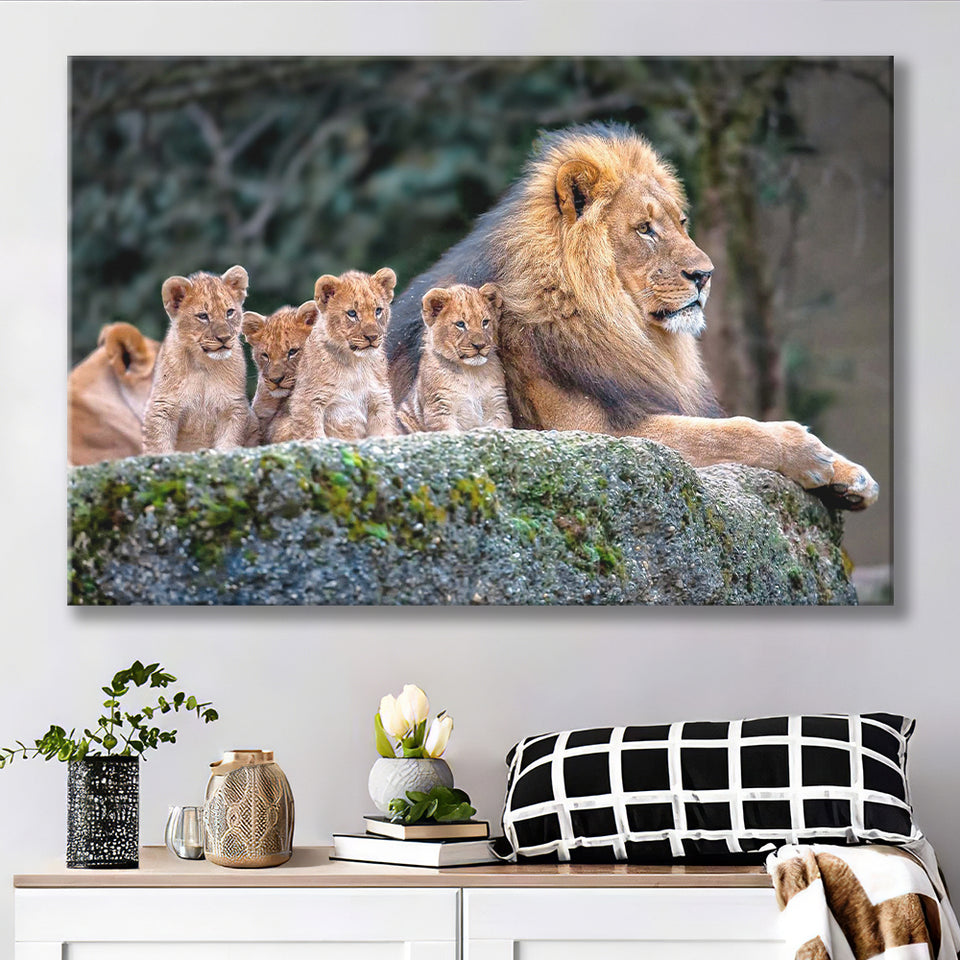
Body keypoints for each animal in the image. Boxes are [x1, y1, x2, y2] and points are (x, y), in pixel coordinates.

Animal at [142, 265, 258, 454]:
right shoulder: (162, 406)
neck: (204, 364)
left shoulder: (233, 406)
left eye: (229, 312)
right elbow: (159, 446)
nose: (224, 338)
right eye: (203, 316)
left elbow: (228, 442)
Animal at [275, 268, 398, 442]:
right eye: (352, 313)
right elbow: (313, 435)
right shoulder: (307, 401)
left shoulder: (379, 399)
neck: (355, 364)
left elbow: (383, 433)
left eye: (378, 311)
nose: (372, 337)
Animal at [397, 283, 512, 433]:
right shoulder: (440, 409)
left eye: (485, 322)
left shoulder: (498, 406)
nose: (479, 345)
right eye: (460, 324)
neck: (471, 373)